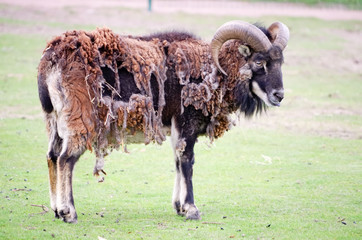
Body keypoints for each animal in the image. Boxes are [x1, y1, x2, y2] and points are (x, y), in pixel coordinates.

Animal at [38, 21, 290, 223]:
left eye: (280, 63)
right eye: (259, 62)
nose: (279, 95)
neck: (213, 71)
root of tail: (53, 59)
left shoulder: (176, 129)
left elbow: (178, 162)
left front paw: (179, 207)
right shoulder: (187, 124)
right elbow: (187, 161)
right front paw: (191, 209)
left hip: (54, 121)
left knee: (52, 156)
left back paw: (56, 210)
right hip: (79, 119)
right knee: (66, 159)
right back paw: (69, 213)